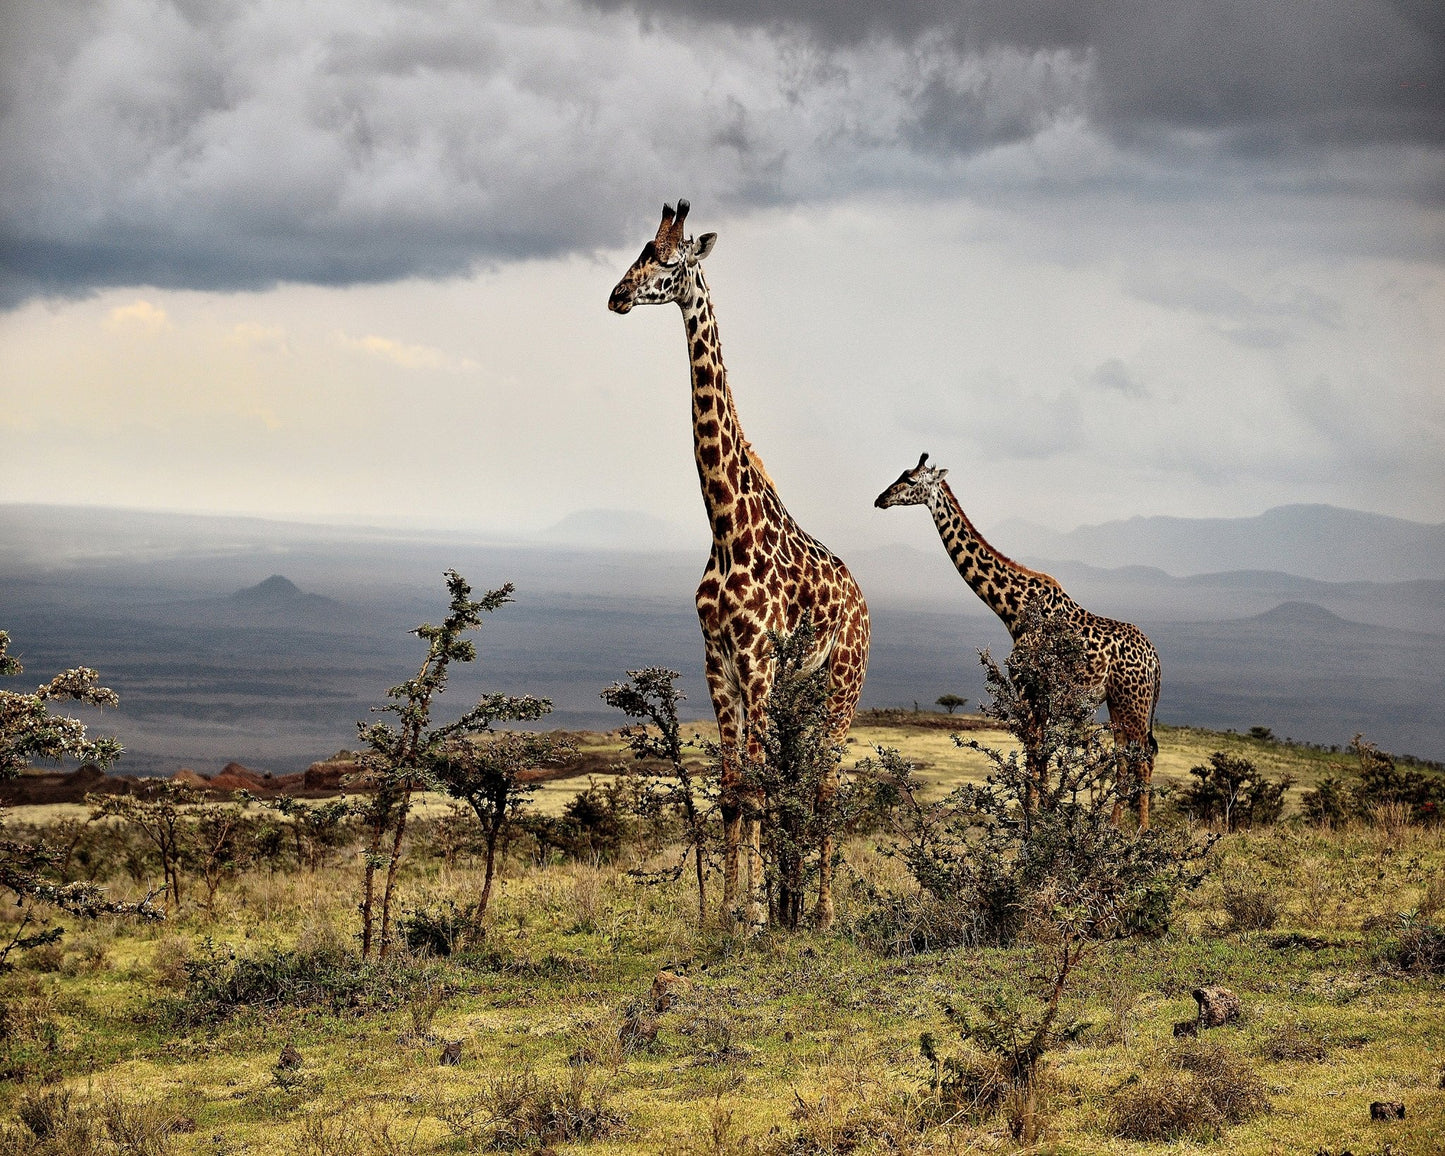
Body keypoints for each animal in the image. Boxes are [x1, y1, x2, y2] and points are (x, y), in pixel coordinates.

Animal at [608, 200, 871, 931]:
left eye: (670, 262)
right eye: (639, 249)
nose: (617, 296)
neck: (725, 526)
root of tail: (863, 599)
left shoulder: (755, 661)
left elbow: (752, 786)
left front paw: (751, 917)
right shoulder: (716, 662)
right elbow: (732, 790)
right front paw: (729, 912)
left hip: (841, 683)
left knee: (825, 784)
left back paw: (821, 914)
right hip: (798, 693)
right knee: (797, 781)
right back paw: (793, 905)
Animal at [875, 453, 1162, 826]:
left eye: (910, 480)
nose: (880, 499)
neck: (1013, 609)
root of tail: (1156, 660)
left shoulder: (1028, 688)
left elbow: (1033, 756)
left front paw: (1033, 821)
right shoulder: (1040, 696)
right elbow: (1040, 758)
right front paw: (1041, 818)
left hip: (1134, 702)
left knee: (1143, 758)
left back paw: (1140, 831)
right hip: (1118, 702)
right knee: (1125, 757)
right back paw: (1112, 827)